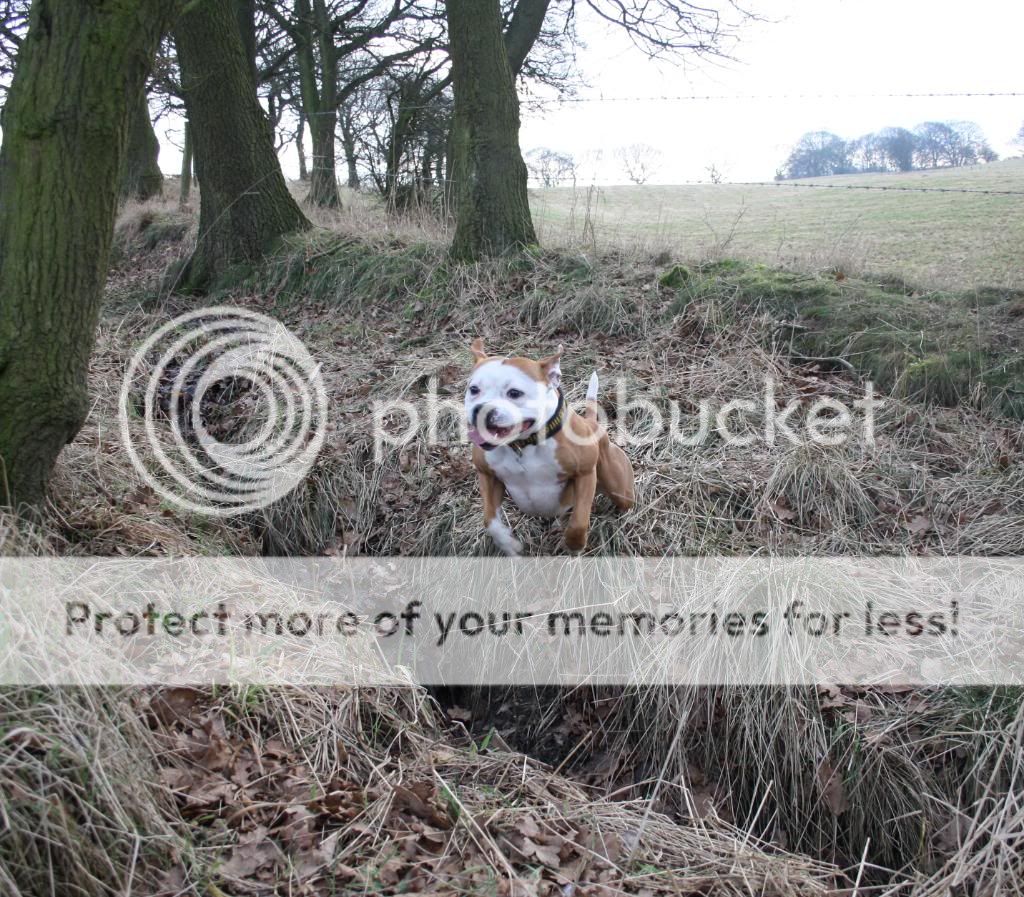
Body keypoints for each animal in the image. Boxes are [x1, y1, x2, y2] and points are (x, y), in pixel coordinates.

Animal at [468, 337, 630, 552]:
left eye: (515, 393)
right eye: (473, 389)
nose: (481, 409)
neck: (523, 444)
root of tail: (591, 423)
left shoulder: (585, 474)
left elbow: (579, 522)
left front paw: (574, 545)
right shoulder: (487, 475)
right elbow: (490, 521)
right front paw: (510, 544)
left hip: (620, 490)